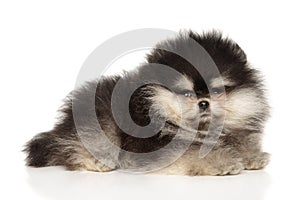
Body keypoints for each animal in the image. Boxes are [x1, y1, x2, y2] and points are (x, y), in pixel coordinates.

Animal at [24, 30, 270, 176]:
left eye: (217, 91)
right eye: (187, 94)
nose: (203, 103)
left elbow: (240, 141)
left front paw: (251, 155)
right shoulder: (160, 145)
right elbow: (192, 153)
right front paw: (221, 162)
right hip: (101, 118)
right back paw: (96, 162)